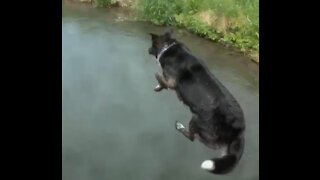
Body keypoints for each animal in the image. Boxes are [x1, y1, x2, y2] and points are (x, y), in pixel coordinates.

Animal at [148, 28, 245, 174]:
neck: (168, 47)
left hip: (196, 121)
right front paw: (158, 87)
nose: (147, 49)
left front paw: (159, 83)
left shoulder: (171, 81)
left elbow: (158, 76)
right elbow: (160, 82)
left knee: (192, 138)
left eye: (152, 45)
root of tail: (239, 131)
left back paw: (180, 127)